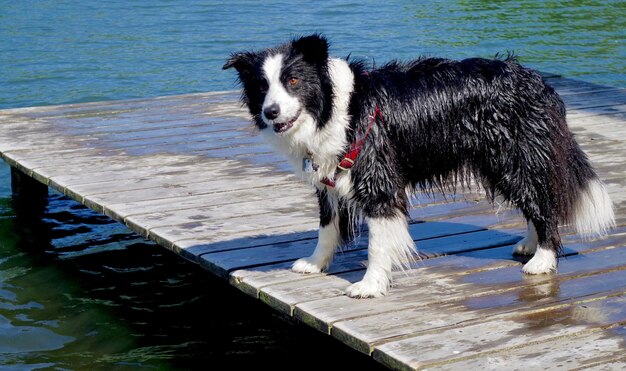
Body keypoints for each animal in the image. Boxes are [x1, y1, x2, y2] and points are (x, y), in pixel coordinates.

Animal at [222, 35, 612, 300]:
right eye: (261, 86)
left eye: (293, 81)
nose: (271, 112)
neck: (339, 111)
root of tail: (538, 82)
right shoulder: (328, 176)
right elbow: (326, 226)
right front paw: (316, 264)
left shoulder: (377, 178)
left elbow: (377, 243)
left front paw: (369, 285)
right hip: (499, 162)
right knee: (532, 199)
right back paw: (529, 244)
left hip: (514, 156)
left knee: (543, 201)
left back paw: (543, 258)